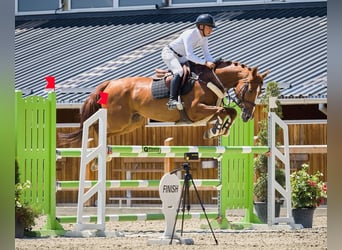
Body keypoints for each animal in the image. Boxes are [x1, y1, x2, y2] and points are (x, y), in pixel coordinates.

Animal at [60, 59, 270, 144]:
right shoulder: (196, 110)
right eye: (250, 89)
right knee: (97, 128)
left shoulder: (206, 113)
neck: (211, 79)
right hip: (118, 119)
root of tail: (110, 83)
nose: (248, 115)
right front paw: (217, 129)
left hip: (131, 123)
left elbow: (227, 111)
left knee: (105, 132)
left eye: (261, 91)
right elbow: (224, 111)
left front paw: (216, 130)